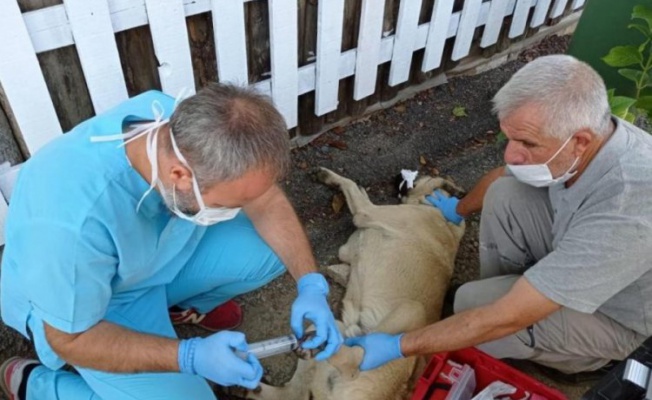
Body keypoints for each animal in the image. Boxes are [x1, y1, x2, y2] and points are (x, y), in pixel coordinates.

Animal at [243, 168, 464, 400]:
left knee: (353, 363)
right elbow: (357, 191)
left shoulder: (366, 213)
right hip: (331, 327)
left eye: (420, 174)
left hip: (412, 310)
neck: (438, 212)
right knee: (296, 392)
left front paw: (331, 177)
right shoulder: (353, 240)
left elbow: (351, 186)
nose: (396, 176)